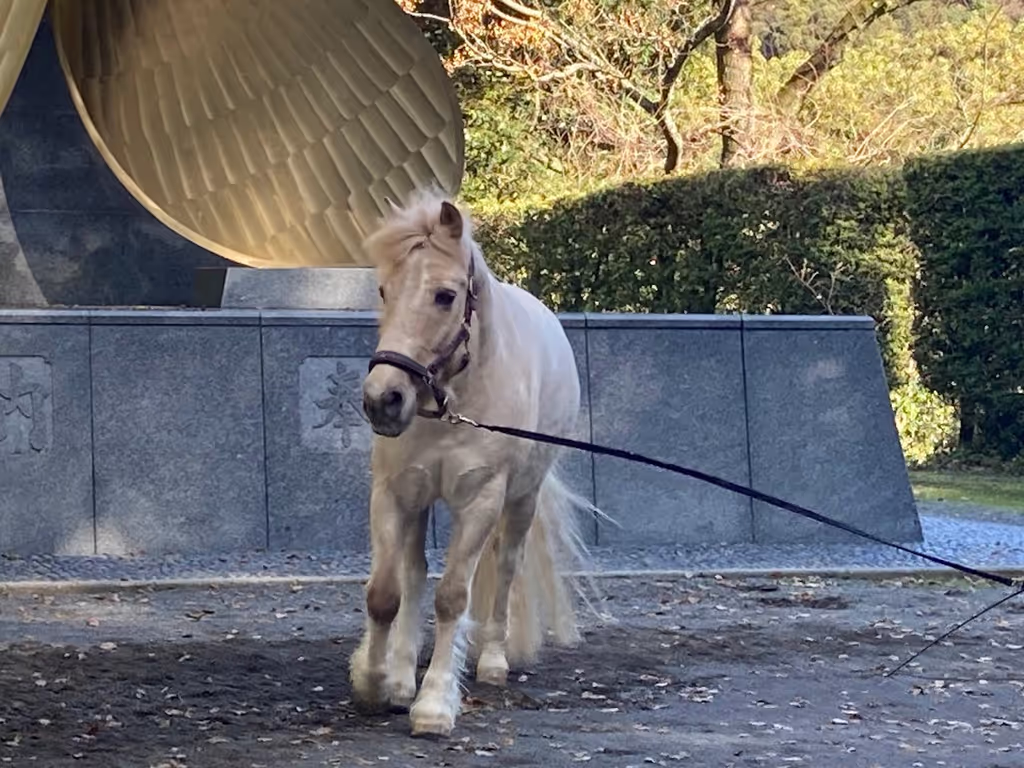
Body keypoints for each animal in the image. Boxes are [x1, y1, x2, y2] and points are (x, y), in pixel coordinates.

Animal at [350, 188, 597, 737]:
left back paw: (493, 661)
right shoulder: (396, 492)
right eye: (383, 290)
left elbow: (452, 597)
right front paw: (377, 682)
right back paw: (402, 675)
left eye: (445, 296)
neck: (452, 400)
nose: (383, 400)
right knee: (413, 572)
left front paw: (435, 705)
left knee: (505, 567)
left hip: (522, 499)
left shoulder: (482, 498)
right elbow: (386, 592)